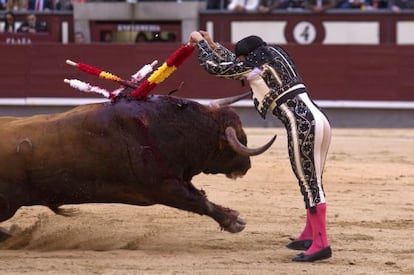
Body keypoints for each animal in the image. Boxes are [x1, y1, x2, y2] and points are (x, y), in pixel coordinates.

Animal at [0, 95, 274, 242]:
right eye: (240, 138)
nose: (246, 166)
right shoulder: (163, 187)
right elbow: (198, 201)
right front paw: (234, 220)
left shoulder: (175, 177)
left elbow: (199, 196)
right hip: (8, 204)